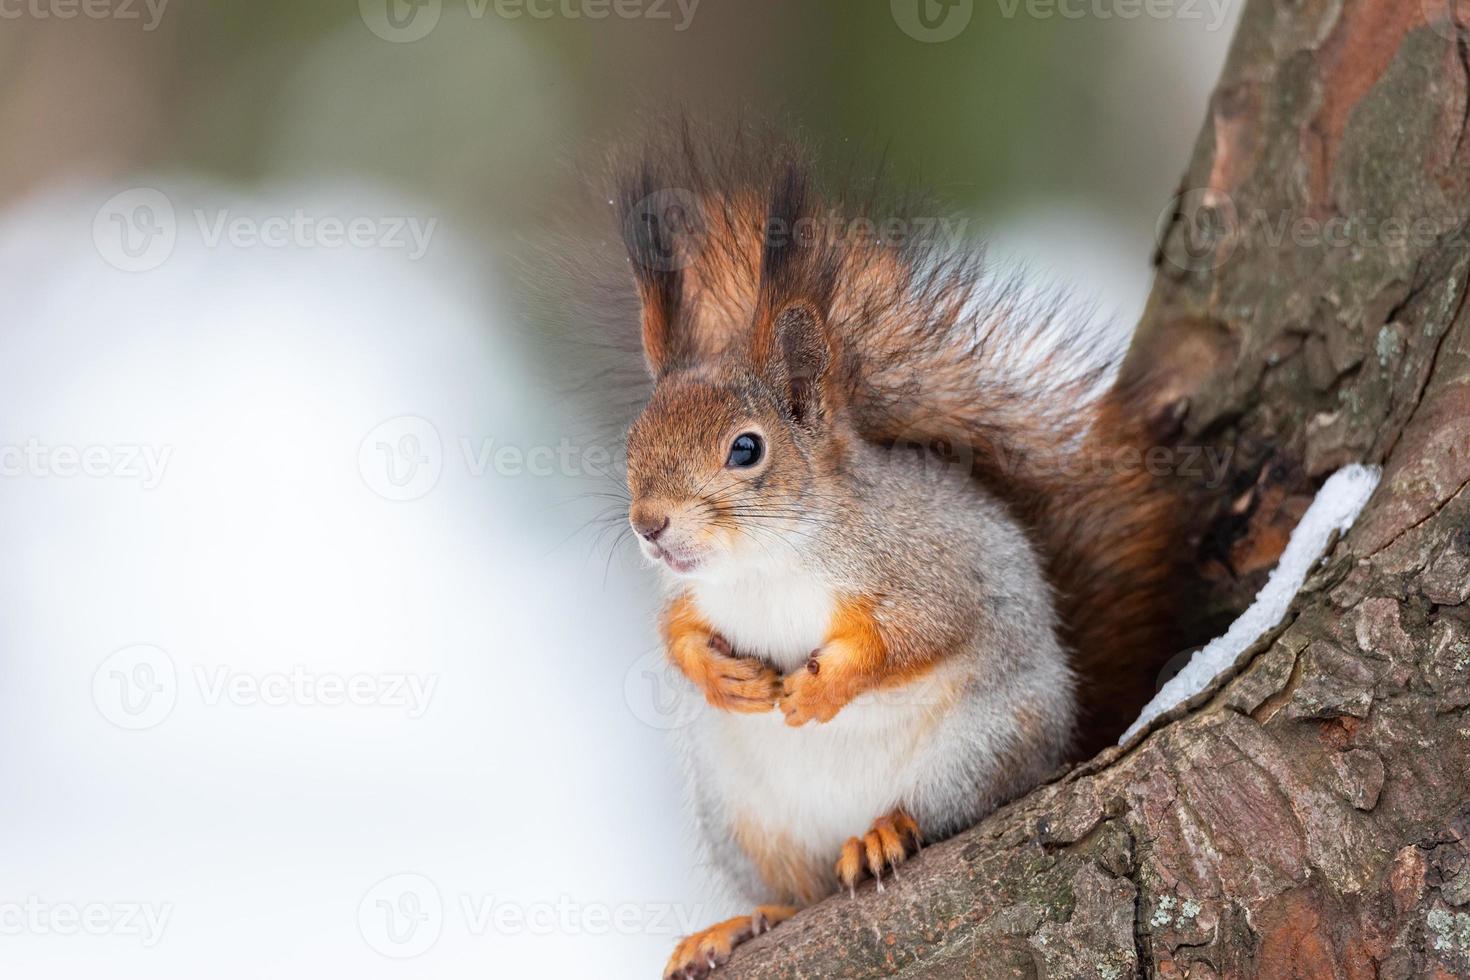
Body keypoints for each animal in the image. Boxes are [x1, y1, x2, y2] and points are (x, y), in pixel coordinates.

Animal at [602, 130, 1187, 980]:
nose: (650, 525)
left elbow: (916, 633)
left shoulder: (928, 563)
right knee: (804, 892)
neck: (763, 563)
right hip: (747, 822)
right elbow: (675, 633)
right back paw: (743, 923)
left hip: (981, 748)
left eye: (746, 448)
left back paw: (886, 832)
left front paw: (820, 688)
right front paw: (719, 675)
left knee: (938, 811)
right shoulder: (695, 593)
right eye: (633, 443)